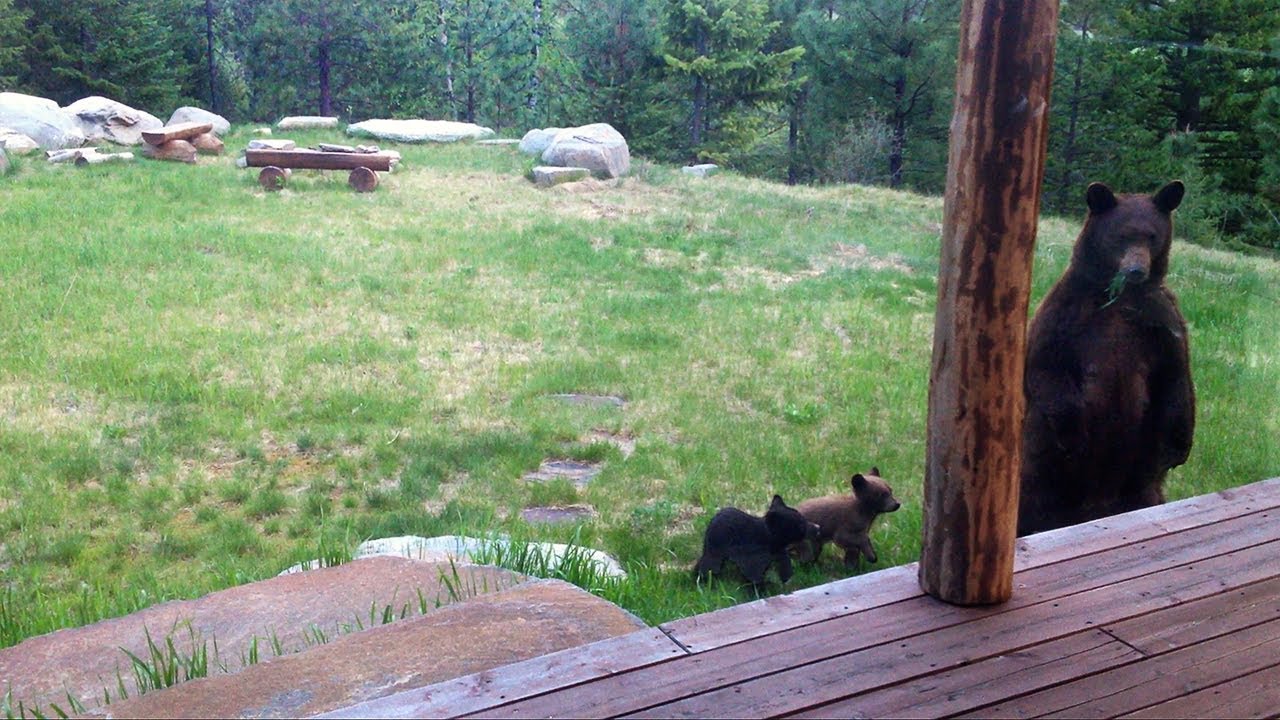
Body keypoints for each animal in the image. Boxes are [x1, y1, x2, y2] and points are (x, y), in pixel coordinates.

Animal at [1018, 180, 1195, 536]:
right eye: (1121, 235)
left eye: (1151, 235)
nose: (1136, 270)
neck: (1119, 299)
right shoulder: (1066, 313)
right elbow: (1046, 366)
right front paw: (1074, 436)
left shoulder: (1162, 321)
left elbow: (1175, 375)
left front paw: (1178, 446)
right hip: (1042, 470)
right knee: (1033, 501)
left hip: (1138, 480)